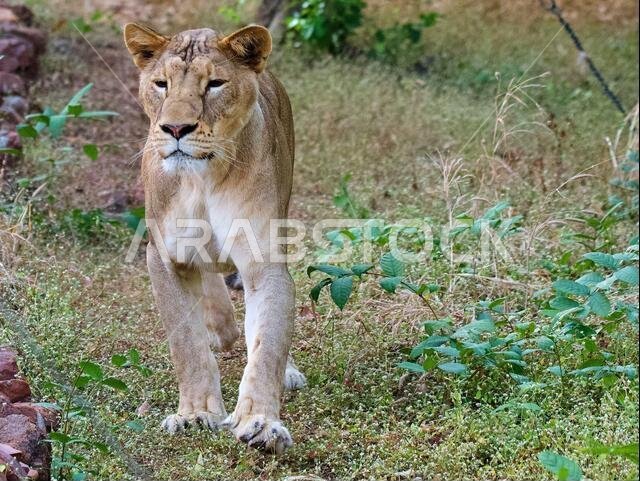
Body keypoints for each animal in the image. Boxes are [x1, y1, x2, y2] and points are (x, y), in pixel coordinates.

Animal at [123, 23, 306, 454]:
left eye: (215, 84)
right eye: (161, 84)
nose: (175, 129)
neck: (201, 178)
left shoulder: (263, 260)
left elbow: (268, 342)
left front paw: (260, 423)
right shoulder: (164, 257)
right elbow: (187, 345)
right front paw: (195, 414)